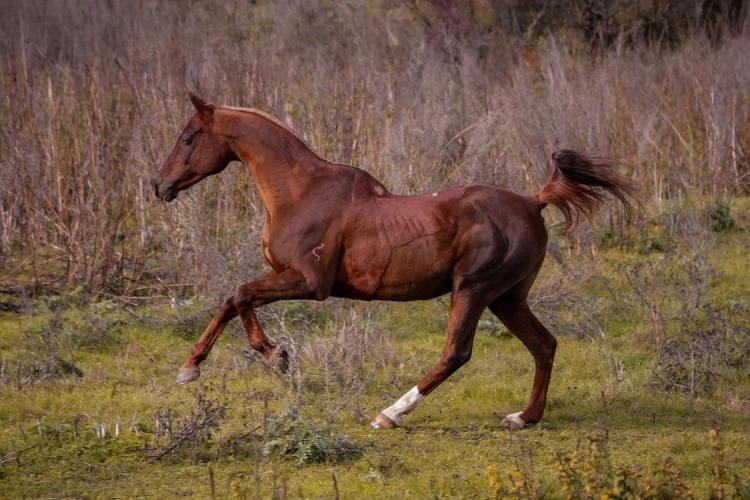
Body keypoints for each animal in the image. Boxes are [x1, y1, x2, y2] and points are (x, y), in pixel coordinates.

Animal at [152, 92, 633, 430]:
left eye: (187, 137)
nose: (160, 186)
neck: (301, 192)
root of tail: (534, 202)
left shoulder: (310, 283)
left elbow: (239, 294)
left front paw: (246, 360)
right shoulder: (284, 277)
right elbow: (236, 299)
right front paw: (240, 360)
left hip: (474, 289)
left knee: (457, 353)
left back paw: (389, 414)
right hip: (507, 298)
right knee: (544, 344)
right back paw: (524, 417)